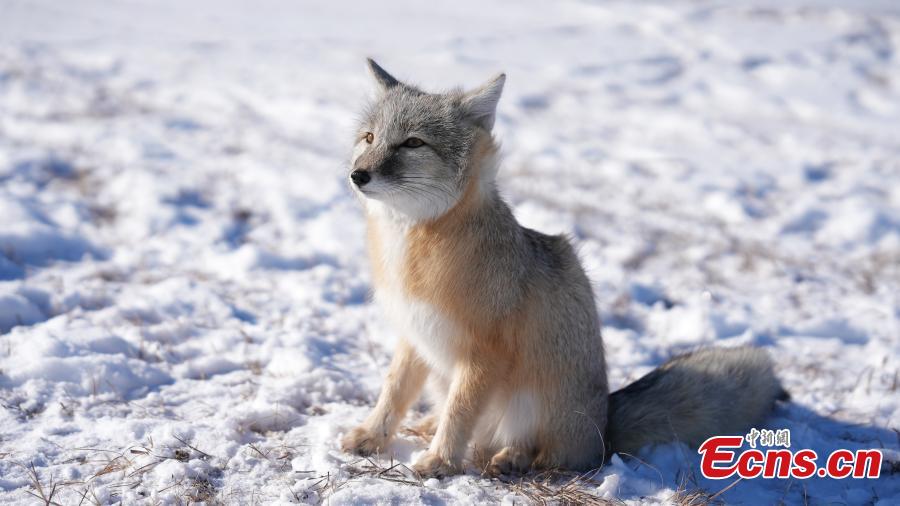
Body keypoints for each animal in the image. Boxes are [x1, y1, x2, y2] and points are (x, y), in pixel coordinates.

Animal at [342, 59, 784, 478]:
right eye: (370, 138)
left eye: (412, 142)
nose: (357, 175)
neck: (413, 250)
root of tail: (603, 430)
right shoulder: (414, 334)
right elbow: (394, 391)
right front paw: (372, 435)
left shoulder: (484, 353)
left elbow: (460, 411)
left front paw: (441, 461)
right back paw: (431, 425)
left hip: (532, 400)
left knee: (541, 451)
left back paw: (510, 457)